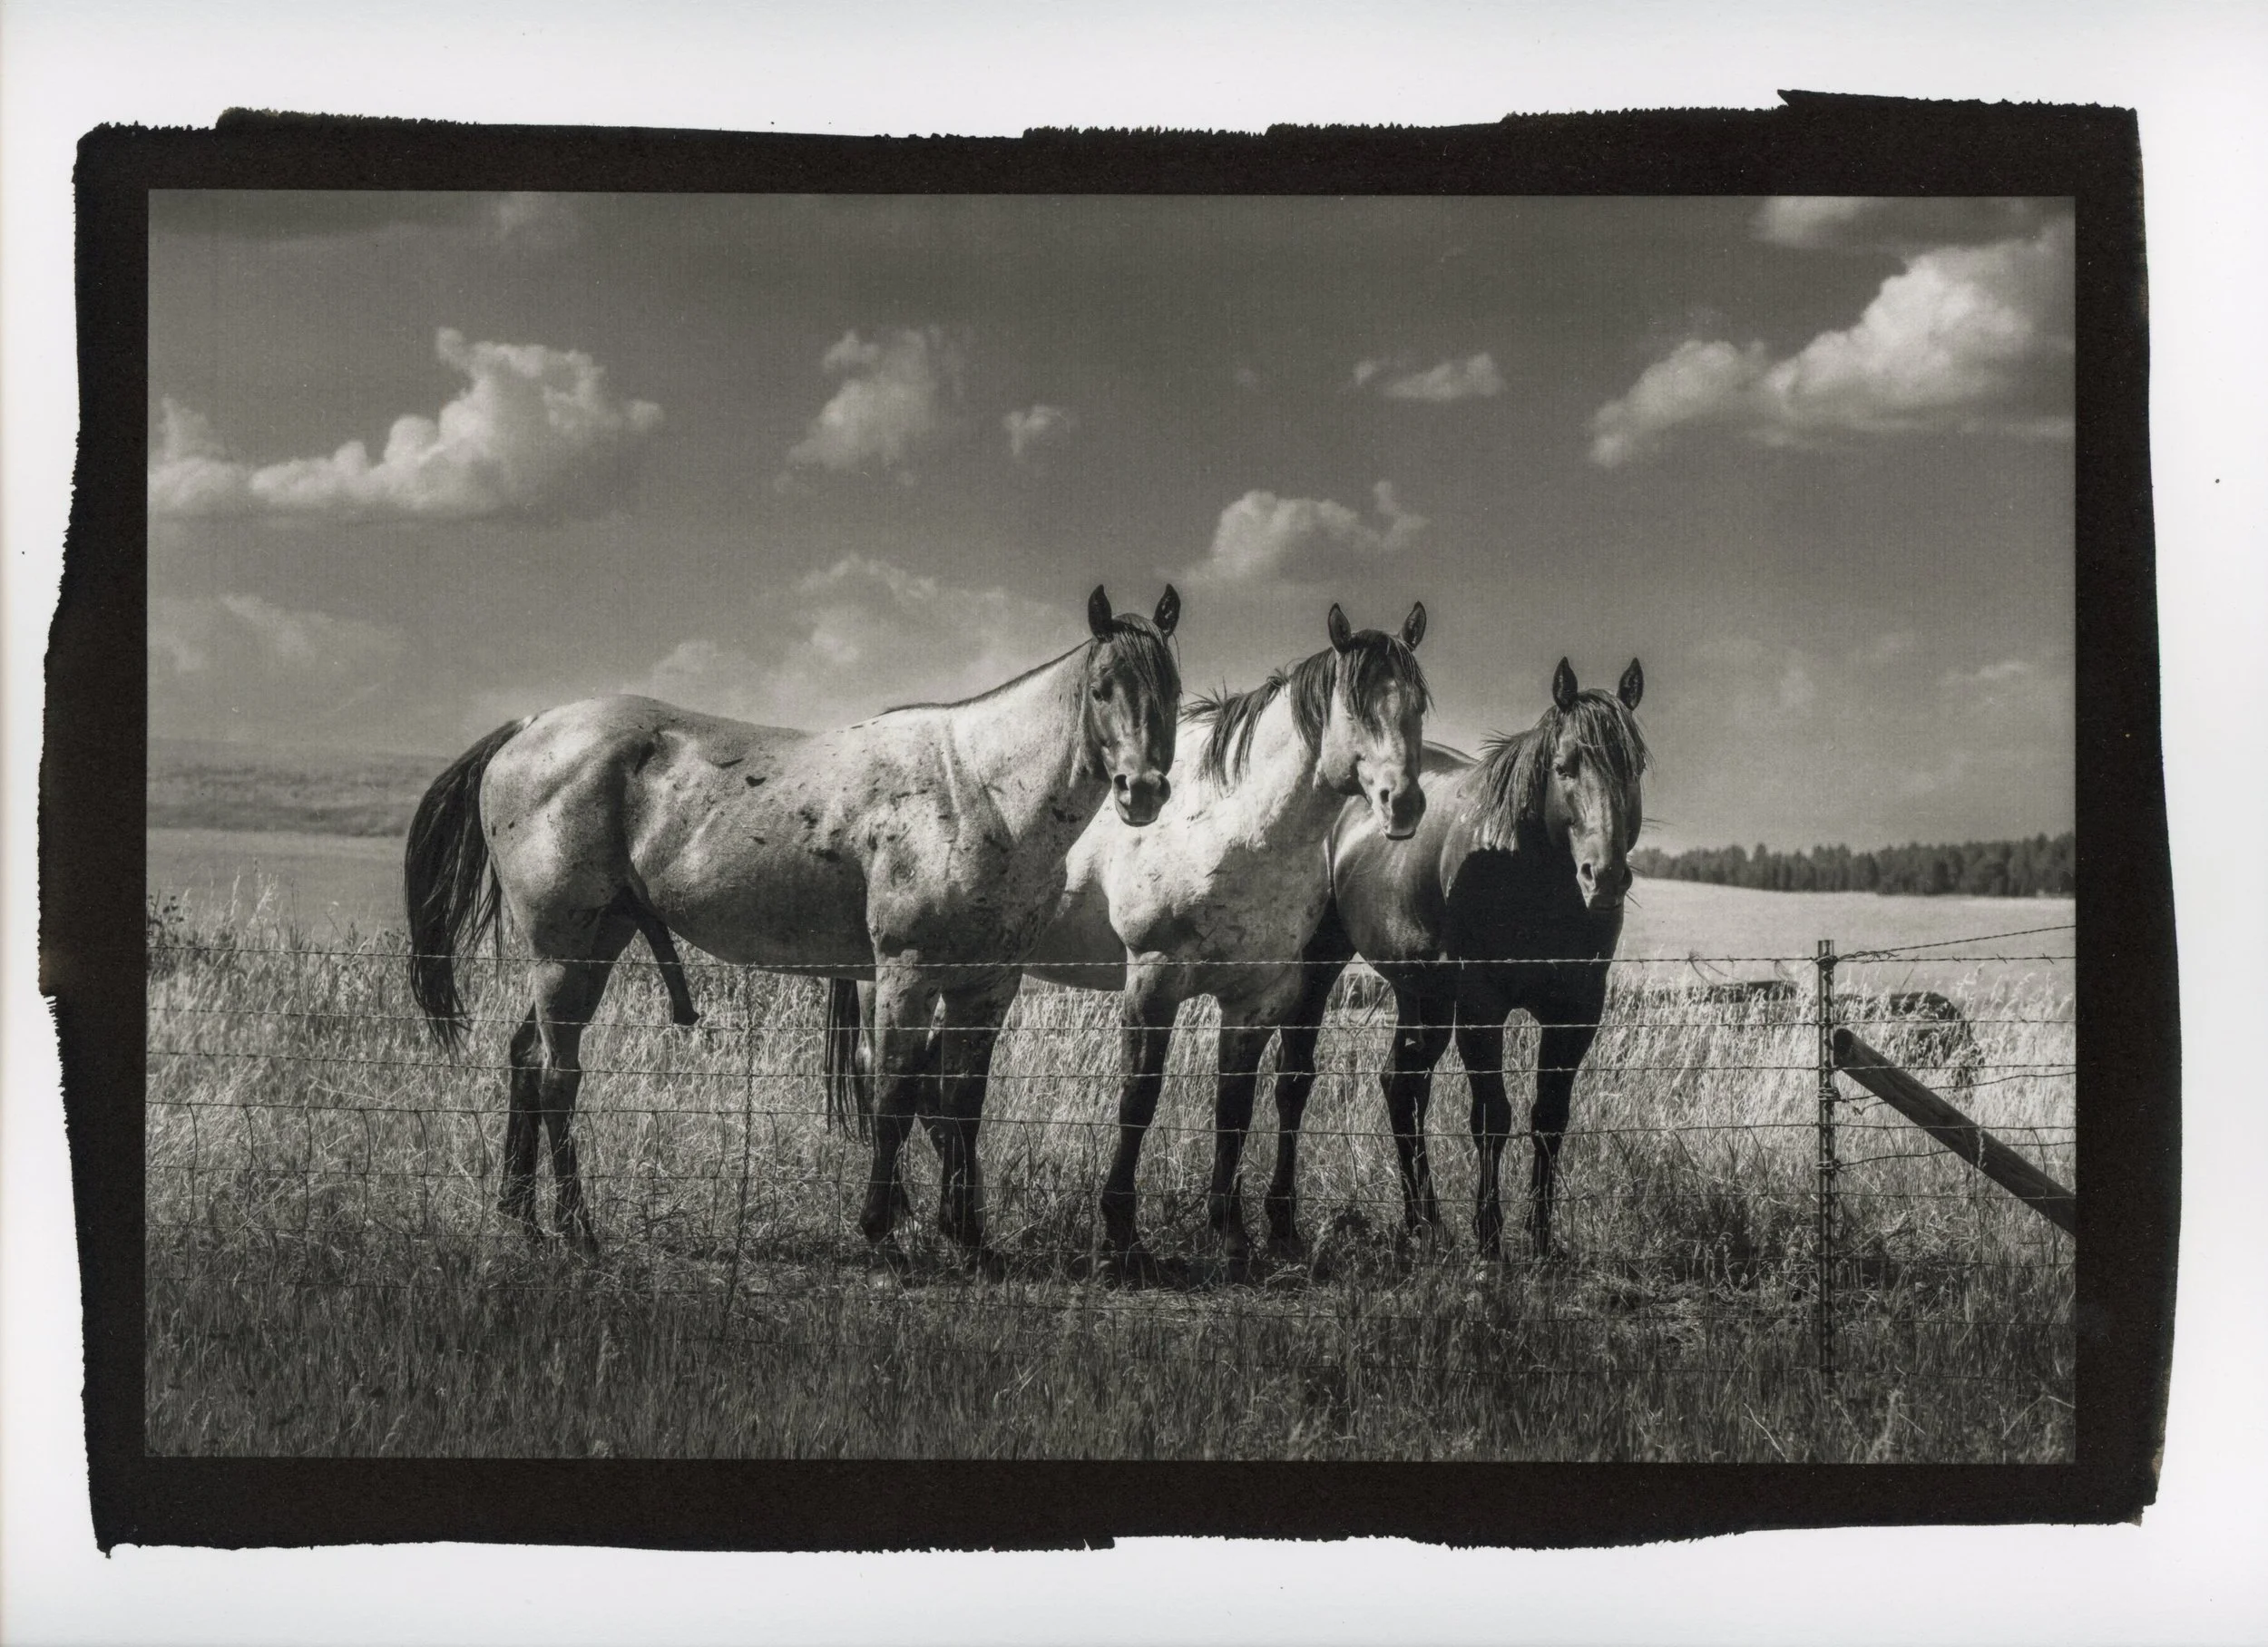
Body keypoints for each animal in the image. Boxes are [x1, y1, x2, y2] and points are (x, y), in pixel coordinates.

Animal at [405, 584, 1183, 1275]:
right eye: (1102, 689)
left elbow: (963, 1105)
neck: (978, 791)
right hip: (562, 950)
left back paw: (525, 1221)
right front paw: (881, 1231)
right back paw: (577, 1230)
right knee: (558, 1077)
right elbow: (895, 1096)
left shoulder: (986, 986)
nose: (1143, 790)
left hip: (595, 944)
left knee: (528, 1059)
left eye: (1171, 690)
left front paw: (969, 1240)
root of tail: (529, 727)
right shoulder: (904, 973)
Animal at [1014, 602, 1431, 1280]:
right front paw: (1121, 1240)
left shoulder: (1256, 997)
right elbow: (1139, 1098)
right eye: (1357, 708)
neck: (1228, 824)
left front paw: (1233, 1238)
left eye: (1417, 704)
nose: (1404, 804)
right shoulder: (1152, 979)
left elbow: (1234, 1109)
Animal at [1276, 656, 1648, 1260]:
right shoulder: (1481, 1007)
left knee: (1402, 1087)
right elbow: (1492, 1117)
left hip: (1420, 993)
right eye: (1564, 767)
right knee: (1294, 1080)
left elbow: (1550, 1118)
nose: (1605, 876)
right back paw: (1282, 1221)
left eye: (1633, 767)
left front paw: (1541, 1240)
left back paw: (1423, 1223)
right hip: (1320, 965)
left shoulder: (1576, 1011)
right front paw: (1490, 1239)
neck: (1528, 875)